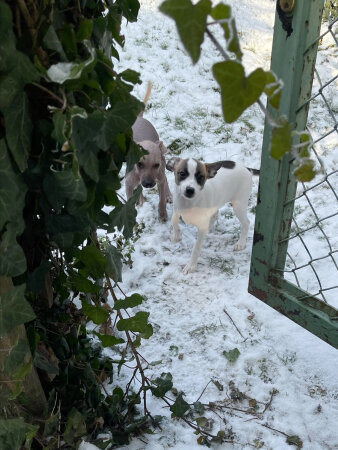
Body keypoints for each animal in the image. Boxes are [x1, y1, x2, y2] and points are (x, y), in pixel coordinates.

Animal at [125, 84, 172, 221]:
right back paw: (140, 200)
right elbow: (130, 197)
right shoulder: (129, 182)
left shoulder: (159, 175)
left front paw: (162, 214)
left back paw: (169, 195)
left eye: (156, 165)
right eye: (139, 164)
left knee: (165, 178)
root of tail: (139, 117)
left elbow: (161, 197)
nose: (148, 184)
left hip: (163, 160)